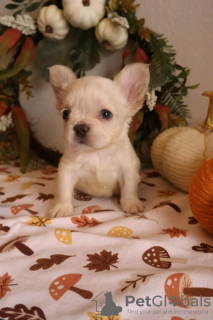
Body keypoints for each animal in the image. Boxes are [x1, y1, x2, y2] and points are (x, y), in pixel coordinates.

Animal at [48, 62, 150, 218]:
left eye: (106, 114)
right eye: (65, 114)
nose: (80, 127)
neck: (97, 152)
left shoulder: (128, 170)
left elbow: (129, 189)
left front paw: (131, 203)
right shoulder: (67, 170)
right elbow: (63, 190)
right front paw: (61, 208)